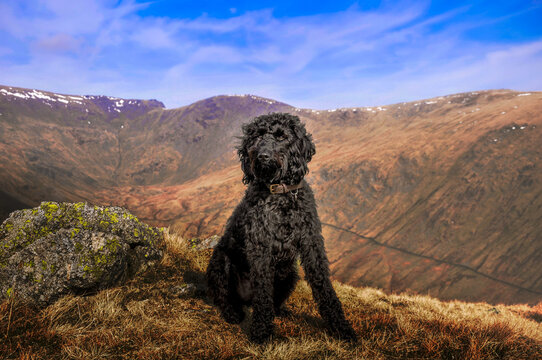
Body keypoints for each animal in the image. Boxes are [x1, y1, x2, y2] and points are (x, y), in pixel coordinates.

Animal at [206, 112, 360, 344]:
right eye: (258, 136)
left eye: (281, 136)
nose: (262, 156)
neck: (282, 194)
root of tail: (246, 300)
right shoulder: (260, 248)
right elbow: (262, 293)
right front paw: (261, 333)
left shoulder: (311, 243)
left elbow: (323, 285)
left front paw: (341, 327)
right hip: (220, 263)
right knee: (225, 297)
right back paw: (233, 313)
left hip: (290, 274)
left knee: (273, 302)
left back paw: (281, 312)